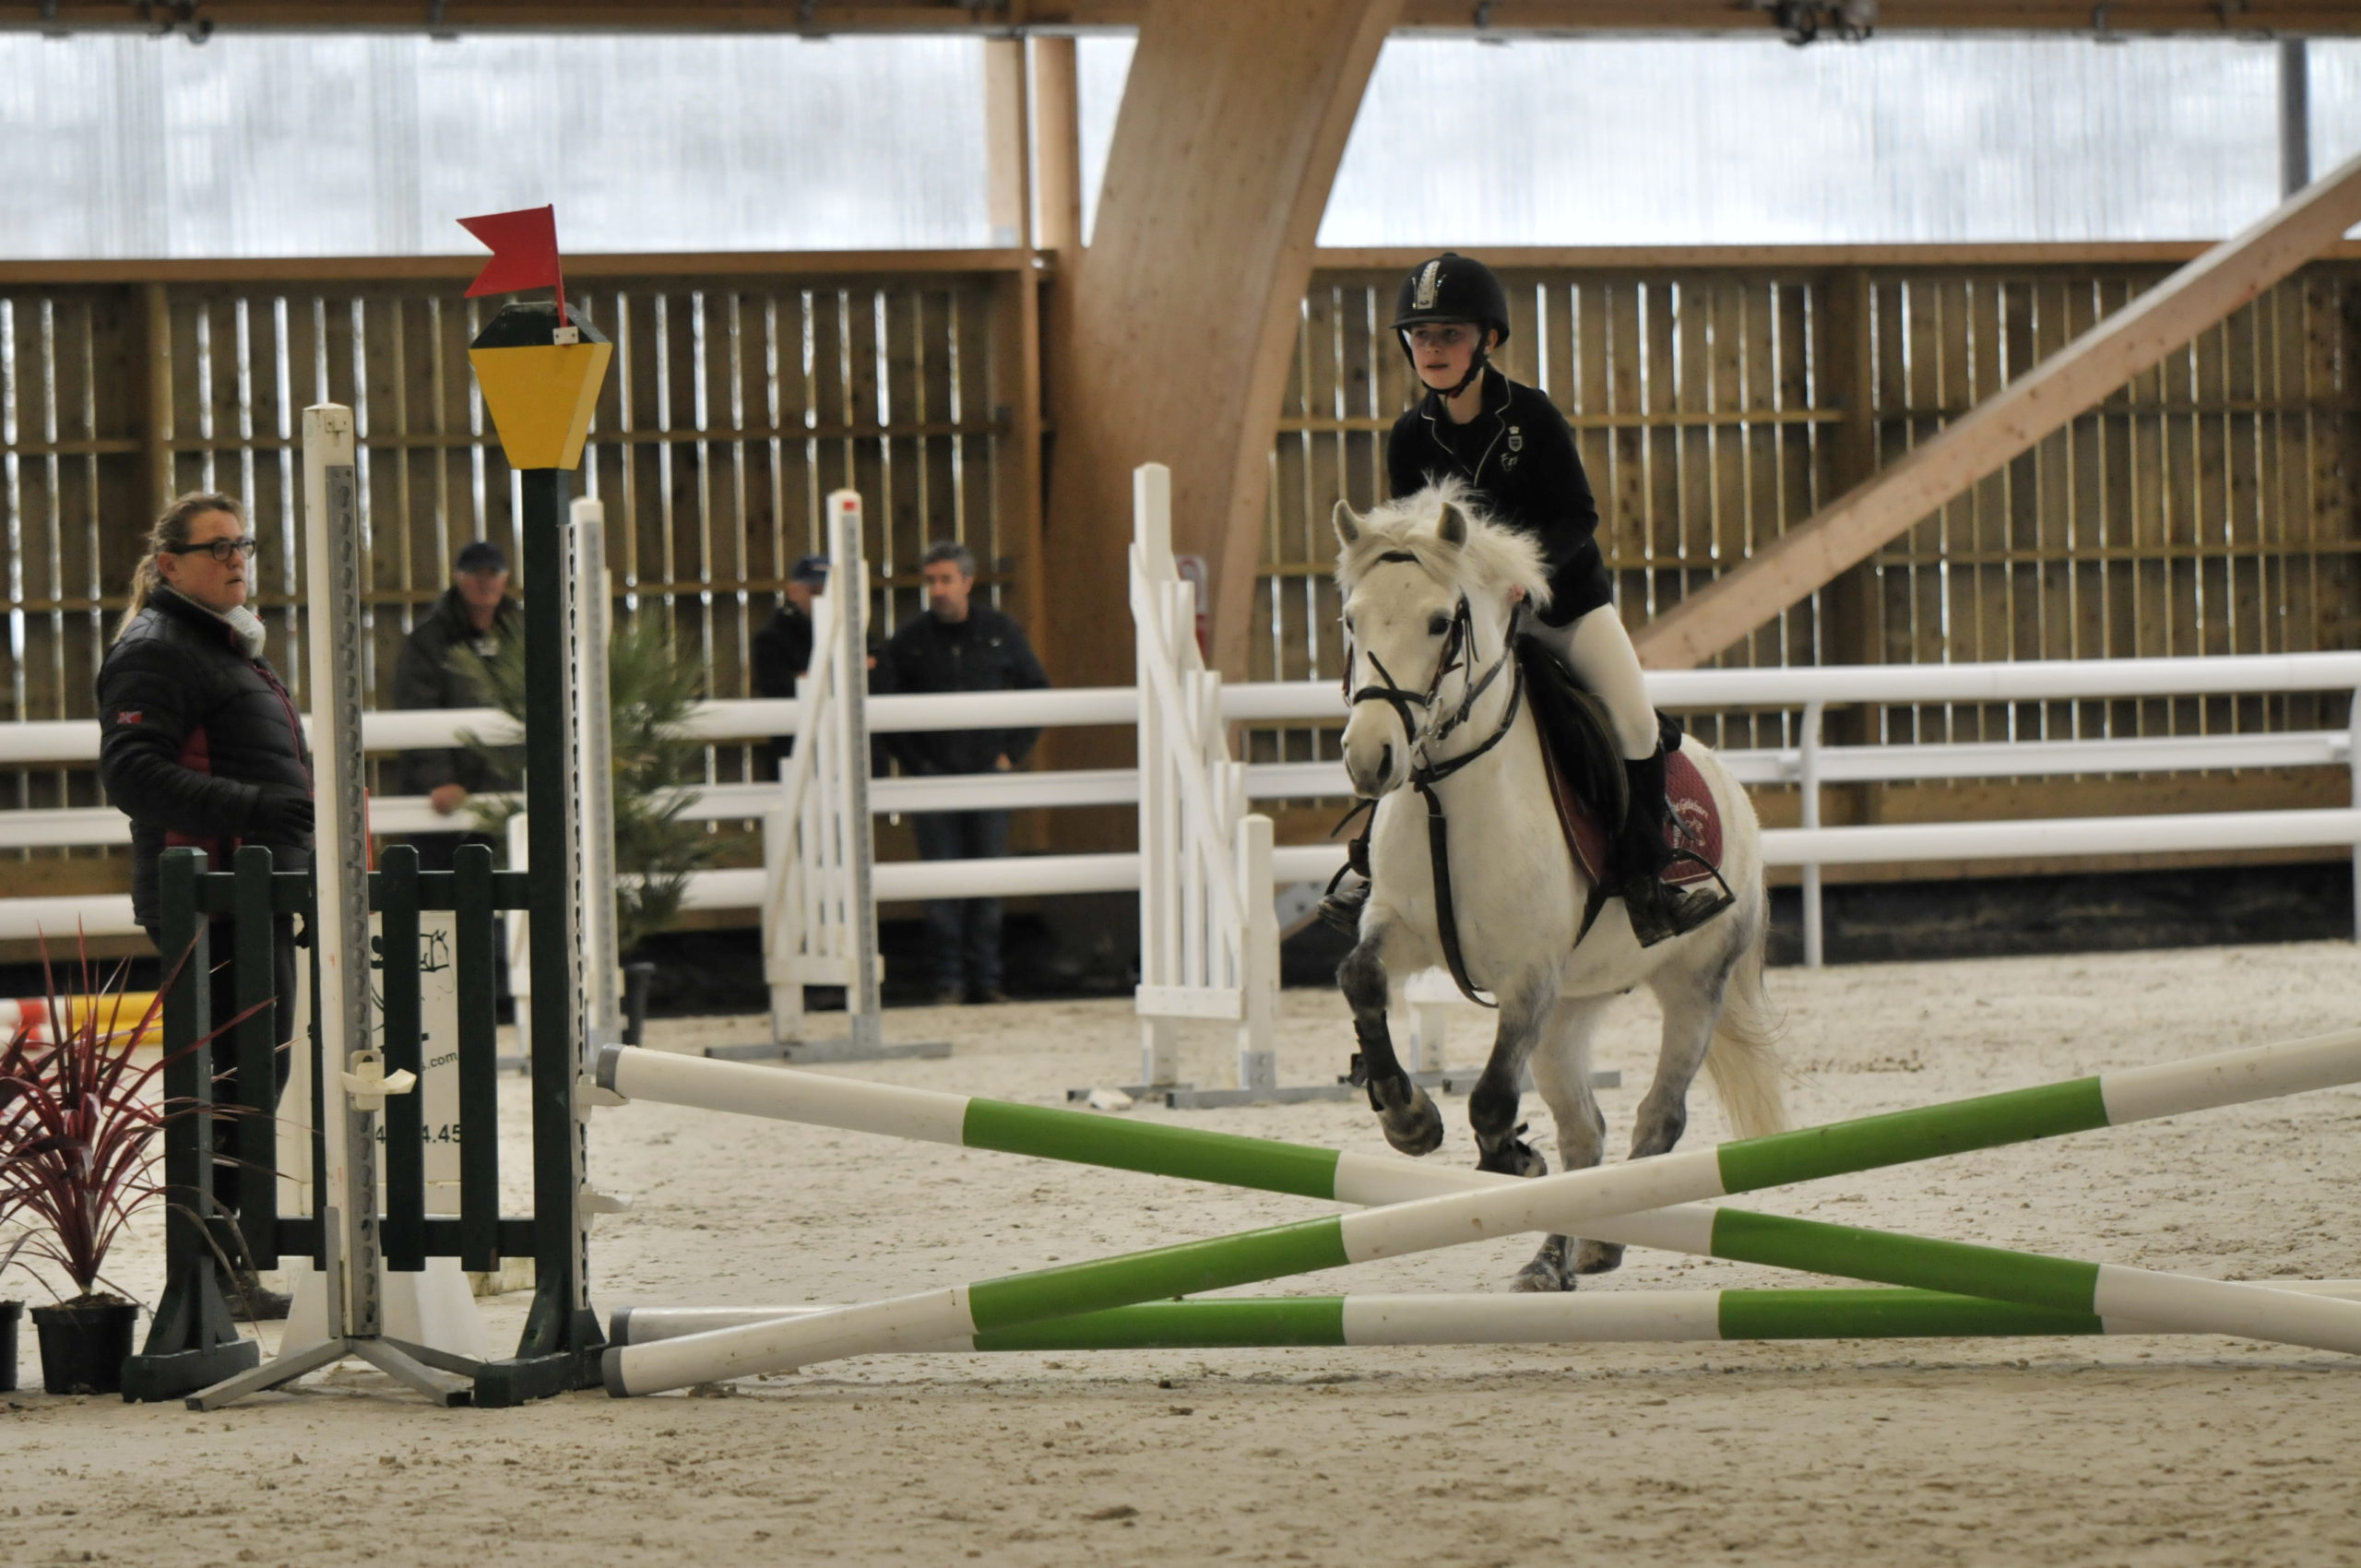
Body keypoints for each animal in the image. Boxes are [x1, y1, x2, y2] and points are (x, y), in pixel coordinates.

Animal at [1341, 481, 1775, 1284]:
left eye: (1440, 623)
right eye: (1351, 620)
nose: (1369, 758)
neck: (1452, 793)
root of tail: (1735, 794)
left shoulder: (1530, 976)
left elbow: (1489, 1098)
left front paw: (1511, 1153)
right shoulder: (1400, 927)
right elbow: (1359, 978)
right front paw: (1408, 1118)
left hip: (1693, 984)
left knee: (1656, 1118)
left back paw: (1606, 1235)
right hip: (1574, 1008)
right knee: (1585, 1133)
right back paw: (1554, 1258)